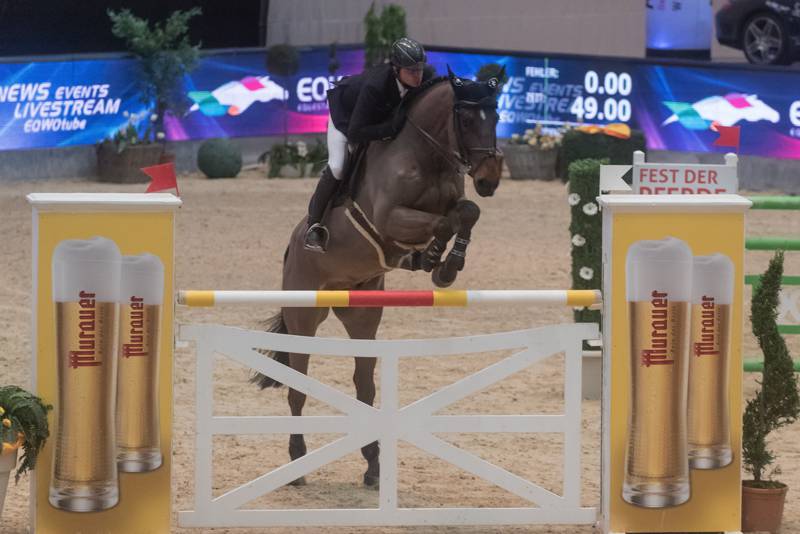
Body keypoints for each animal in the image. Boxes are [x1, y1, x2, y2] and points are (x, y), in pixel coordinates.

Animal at [255, 67, 506, 490]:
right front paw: (437, 258)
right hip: (304, 316)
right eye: (468, 119)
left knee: (364, 386)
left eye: (498, 117)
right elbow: (443, 221)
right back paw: (297, 463)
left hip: (363, 315)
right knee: (297, 387)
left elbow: (465, 212)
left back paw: (373, 466)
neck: (428, 156)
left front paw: (443, 263)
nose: (489, 180)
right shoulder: (391, 219)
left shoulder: (450, 203)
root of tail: (292, 247)